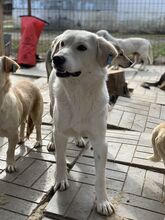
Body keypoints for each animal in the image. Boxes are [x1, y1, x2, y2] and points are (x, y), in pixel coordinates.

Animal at [47, 29, 131, 217]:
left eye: (82, 48)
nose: (57, 58)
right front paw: (60, 179)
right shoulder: (61, 133)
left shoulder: (100, 142)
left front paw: (102, 202)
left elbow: (101, 176)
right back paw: (51, 142)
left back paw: (79, 139)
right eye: (62, 44)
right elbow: (60, 160)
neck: (78, 91)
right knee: (52, 126)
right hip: (52, 104)